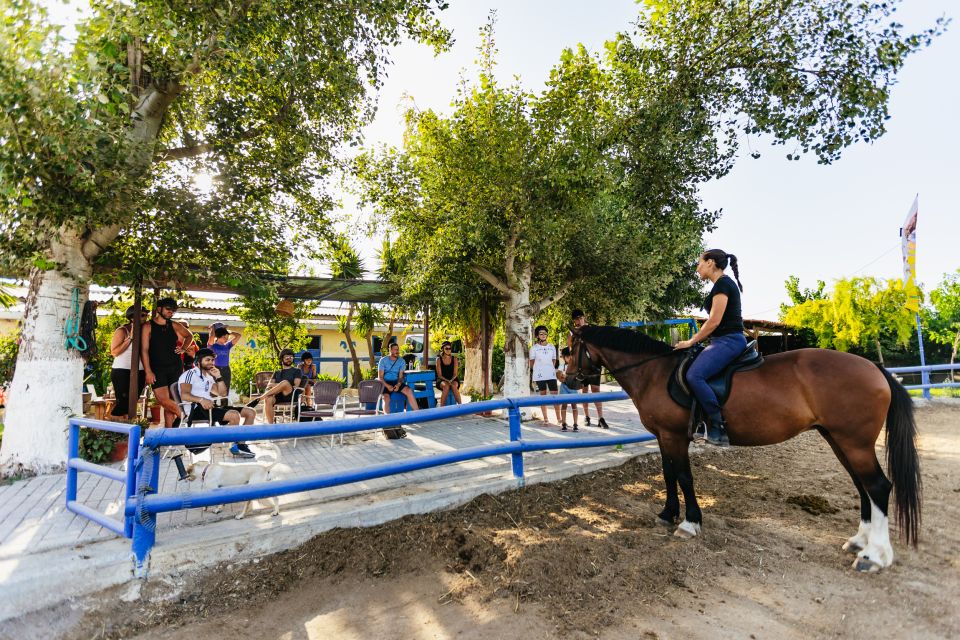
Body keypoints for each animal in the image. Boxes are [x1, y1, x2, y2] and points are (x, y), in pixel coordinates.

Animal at [568, 324, 924, 568]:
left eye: (571, 348)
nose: (569, 379)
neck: (656, 371)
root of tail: (875, 368)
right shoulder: (662, 436)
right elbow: (668, 476)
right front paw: (667, 514)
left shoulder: (674, 436)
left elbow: (684, 477)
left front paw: (689, 523)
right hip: (839, 440)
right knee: (863, 486)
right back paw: (859, 542)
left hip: (854, 443)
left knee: (878, 486)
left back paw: (874, 556)